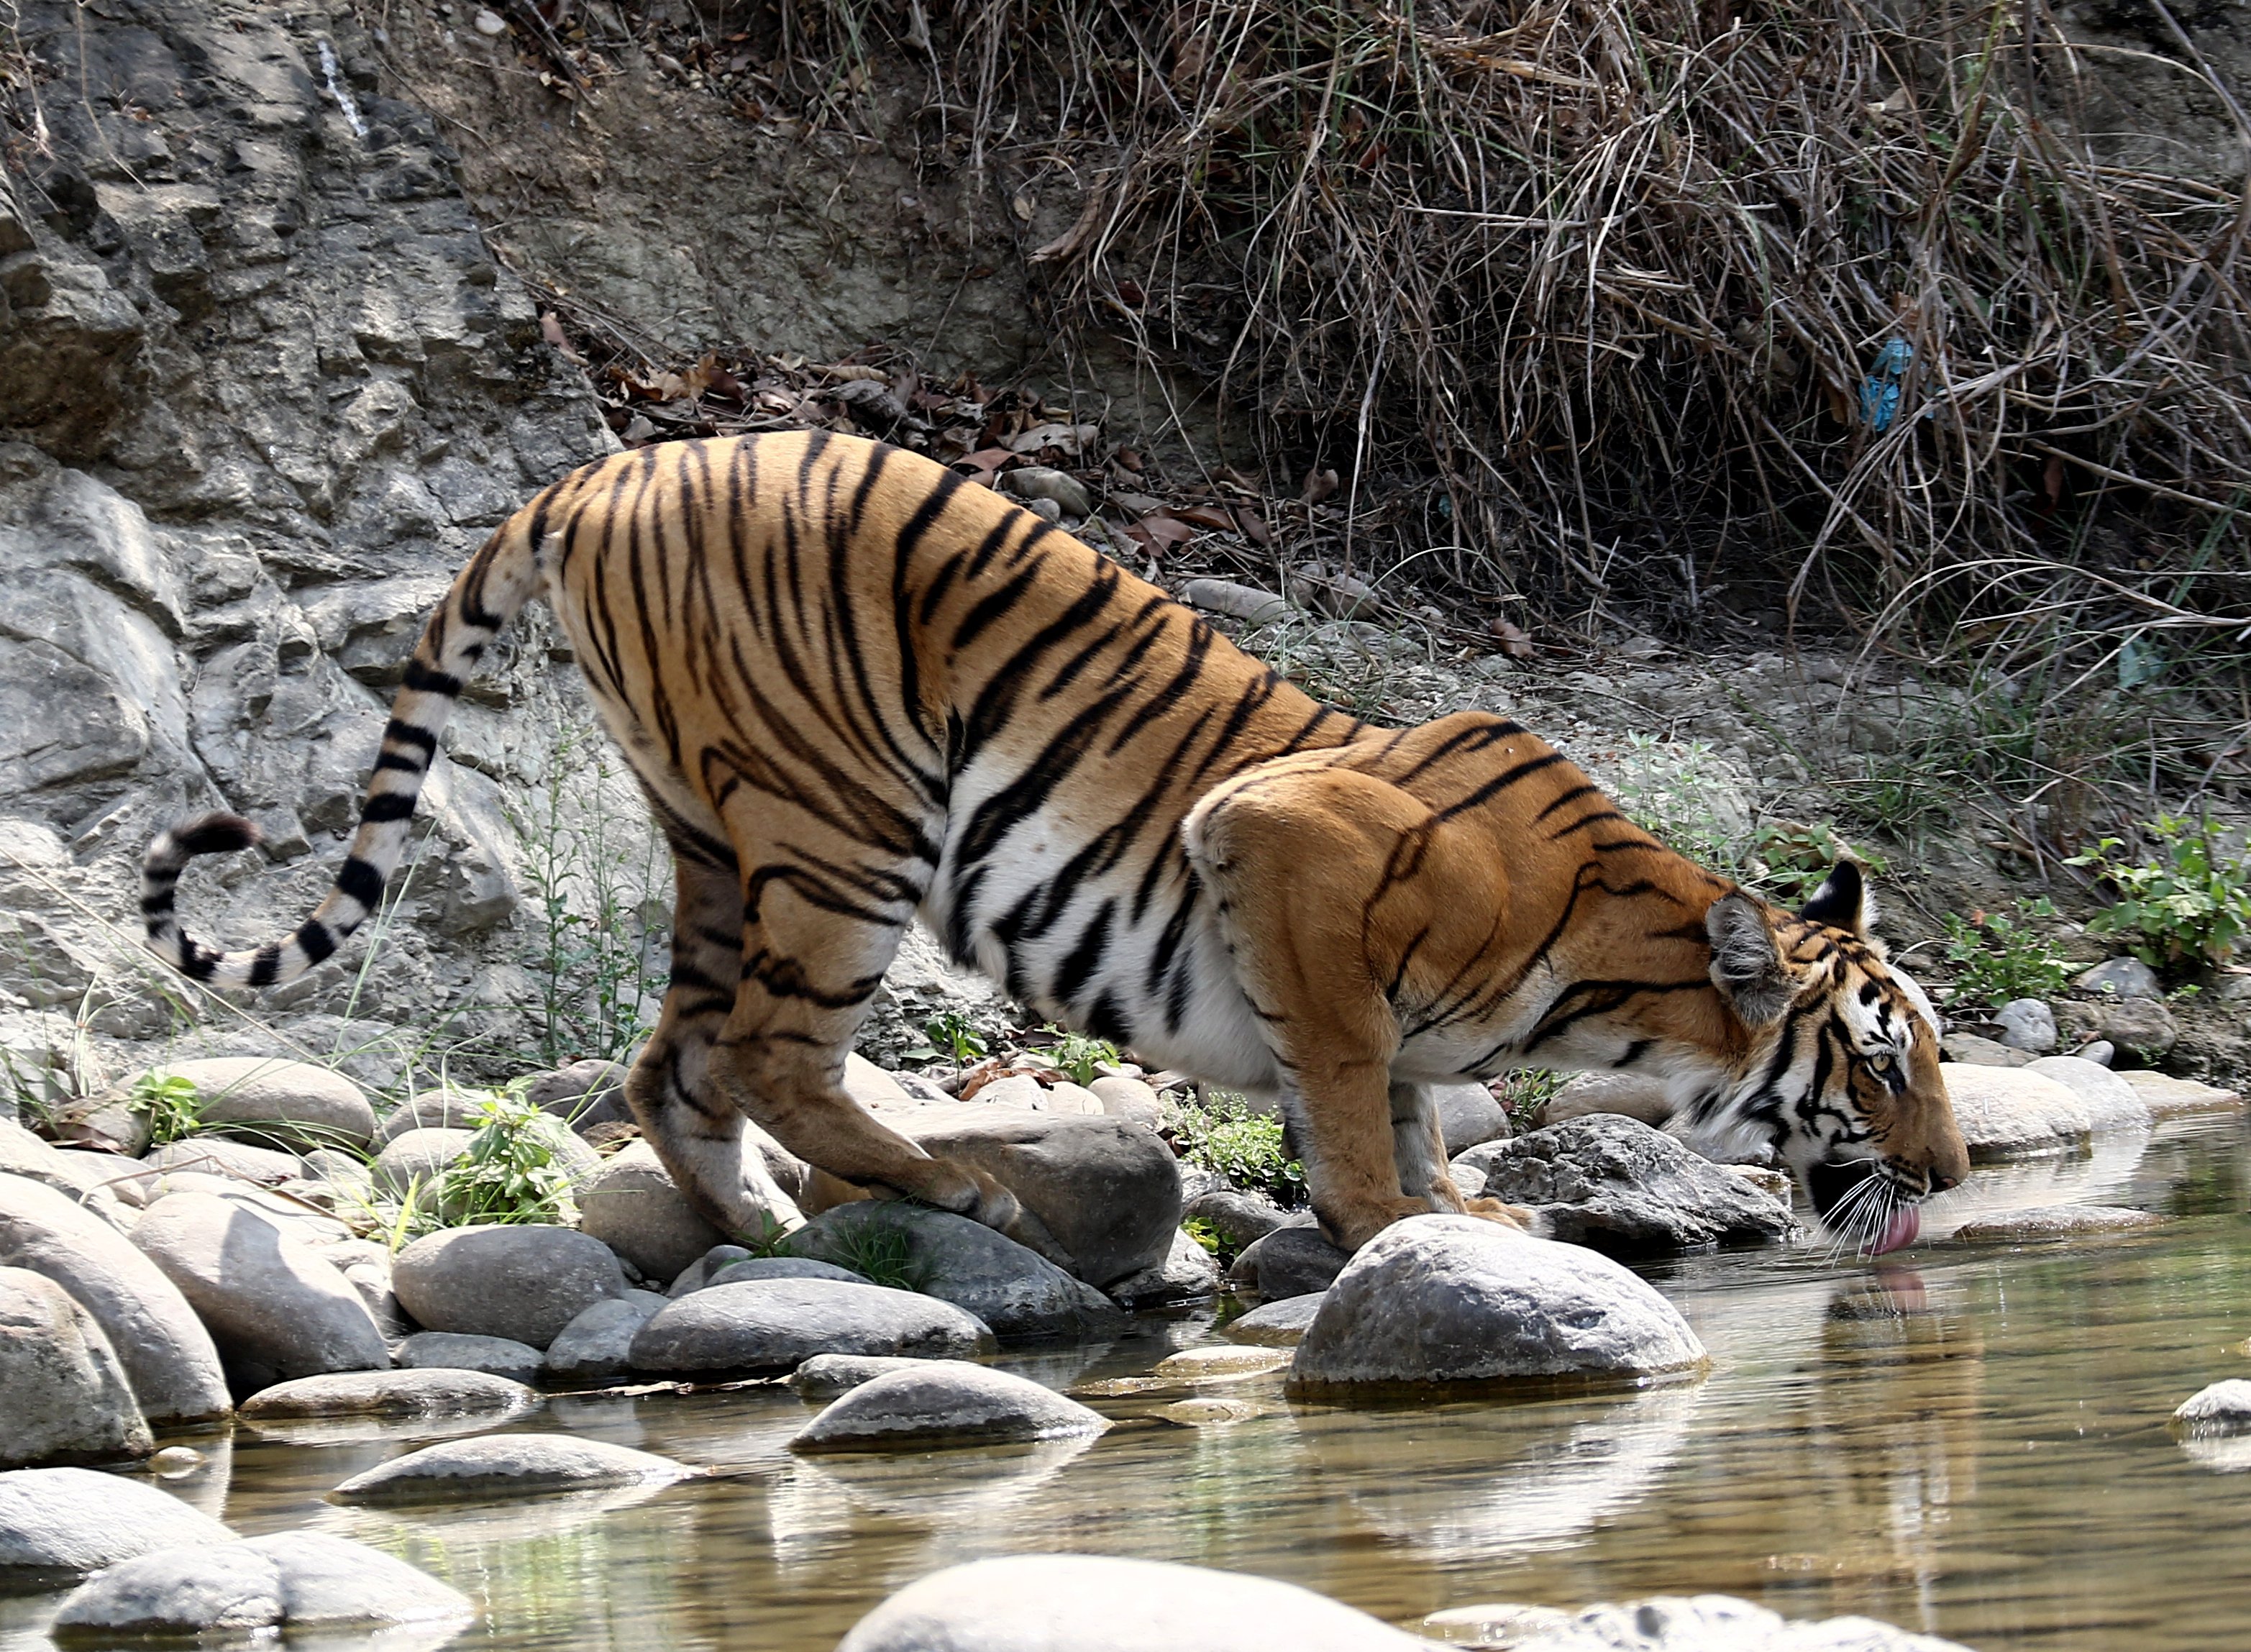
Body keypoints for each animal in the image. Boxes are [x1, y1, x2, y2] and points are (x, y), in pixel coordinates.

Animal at [140, 434, 1963, 1260]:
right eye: (1878, 1063)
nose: (1951, 1177)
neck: (1614, 975)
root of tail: (609, 463)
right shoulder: (1282, 844)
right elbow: (1353, 1076)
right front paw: (1389, 1219)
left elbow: (1403, 1085)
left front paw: (1456, 1207)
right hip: (847, 820)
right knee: (769, 1047)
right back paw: (948, 1183)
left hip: (714, 832)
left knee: (677, 1060)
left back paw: (765, 1237)